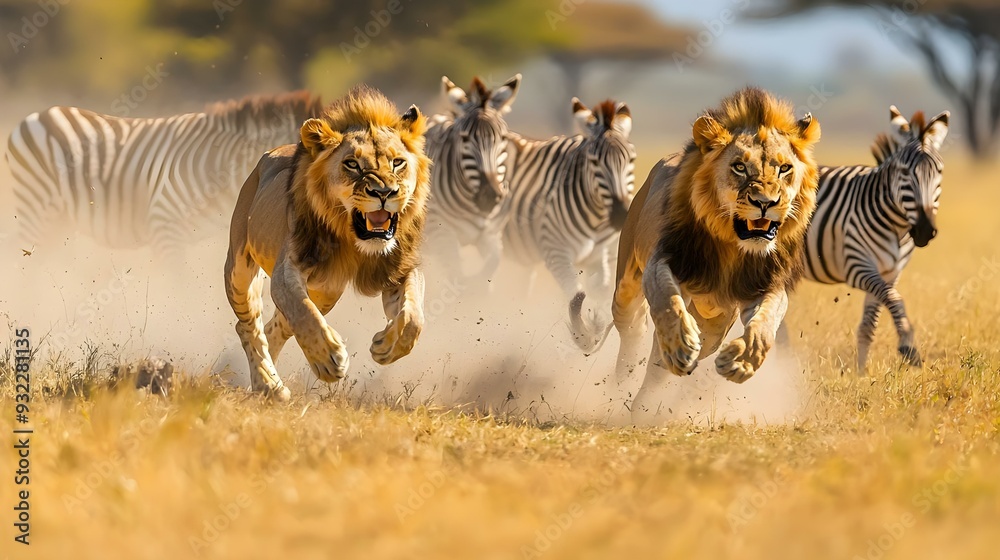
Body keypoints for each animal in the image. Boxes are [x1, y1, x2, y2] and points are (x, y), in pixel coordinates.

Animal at [224, 85, 432, 400]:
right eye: (352, 164)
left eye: (398, 162)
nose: (384, 192)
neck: (354, 241)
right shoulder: (288, 270)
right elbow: (303, 312)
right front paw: (328, 359)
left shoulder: (400, 268)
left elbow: (413, 317)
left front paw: (385, 346)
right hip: (239, 270)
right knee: (249, 325)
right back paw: (268, 385)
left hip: (326, 292)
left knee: (276, 328)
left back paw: (271, 379)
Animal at [423, 74, 520, 279]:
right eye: (465, 139)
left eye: (503, 138)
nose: (489, 196)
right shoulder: (442, 235)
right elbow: (456, 276)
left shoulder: (491, 236)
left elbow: (491, 267)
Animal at [502, 97, 636, 320]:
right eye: (594, 162)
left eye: (631, 159)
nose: (620, 215)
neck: (596, 218)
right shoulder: (556, 253)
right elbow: (577, 298)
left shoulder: (605, 256)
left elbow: (603, 293)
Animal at [571, 87, 820, 417]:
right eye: (739, 167)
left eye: (784, 169)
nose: (766, 202)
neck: (732, 246)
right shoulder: (663, 262)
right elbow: (668, 302)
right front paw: (680, 345)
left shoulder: (767, 286)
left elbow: (764, 328)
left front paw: (740, 361)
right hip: (627, 288)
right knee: (634, 334)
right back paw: (623, 386)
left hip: (715, 322)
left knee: (672, 356)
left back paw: (647, 402)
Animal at [801, 105, 949, 371]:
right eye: (904, 172)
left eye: (939, 172)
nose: (924, 231)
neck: (897, 226)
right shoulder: (857, 266)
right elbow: (896, 300)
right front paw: (908, 346)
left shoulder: (890, 273)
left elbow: (870, 323)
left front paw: (860, 372)